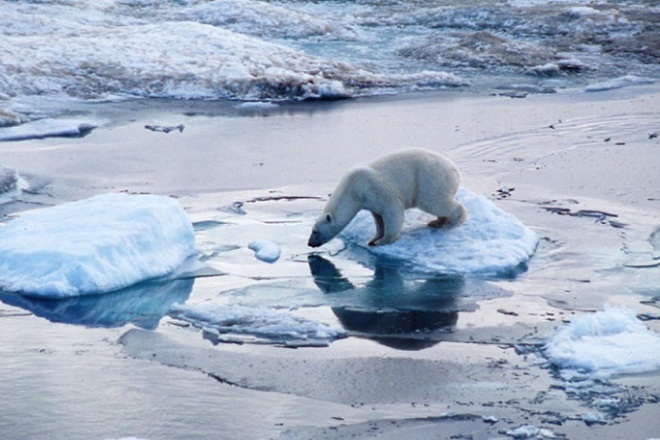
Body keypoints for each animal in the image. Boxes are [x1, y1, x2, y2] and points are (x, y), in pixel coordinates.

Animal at [306, 150, 466, 248]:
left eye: (315, 231)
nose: (309, 243)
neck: (352, 189)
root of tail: (455, 170)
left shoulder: (374, 188)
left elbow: (392, 211)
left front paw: (383, 241)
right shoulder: (369, 201)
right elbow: (378, 219)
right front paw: (373, 239)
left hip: (430, 178)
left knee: (434, 201)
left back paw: (451, 223)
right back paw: (436, 222)